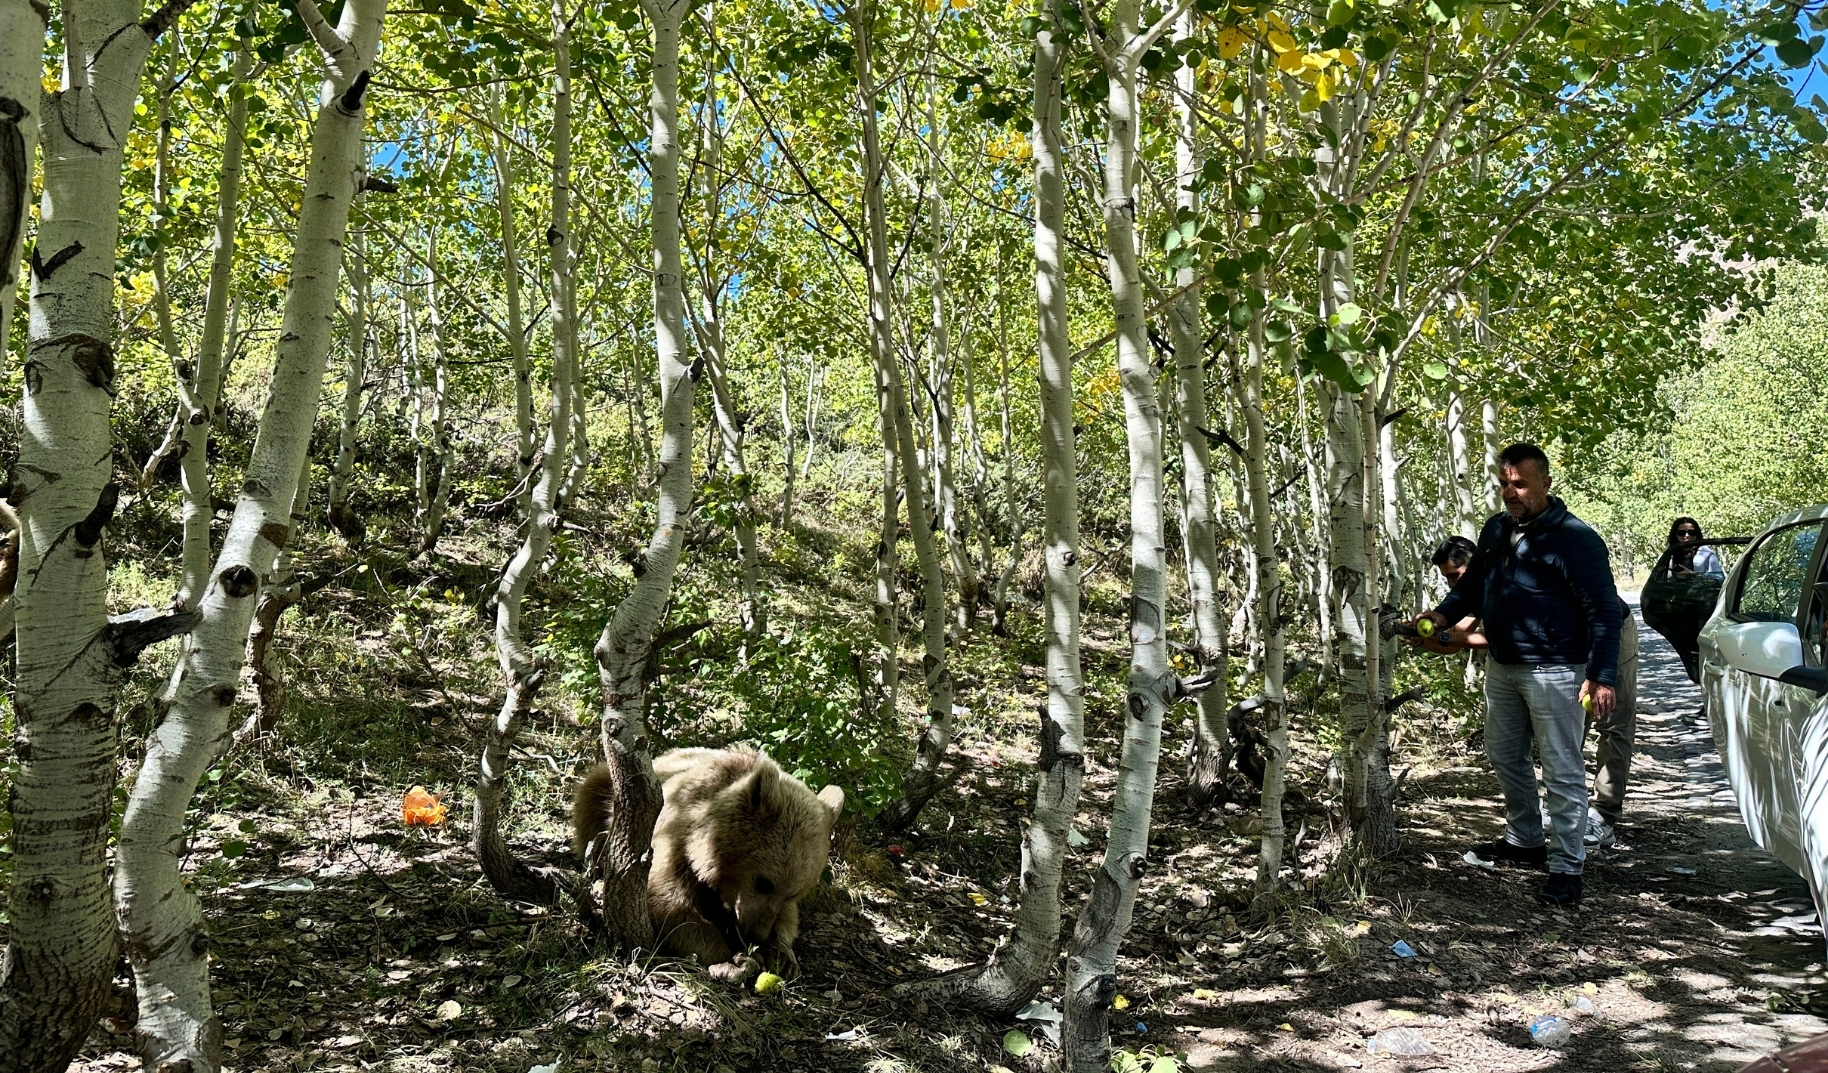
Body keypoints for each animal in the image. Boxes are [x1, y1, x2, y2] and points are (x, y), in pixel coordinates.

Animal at [570, 745, 840, 979]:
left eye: (792, 894)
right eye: (764, 882)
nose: (757, 936)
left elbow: (788, 920)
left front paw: (782, 957)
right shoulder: (672, 842)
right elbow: (668, 902)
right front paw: (732, 960)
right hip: (608, 792)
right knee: (590, 797)